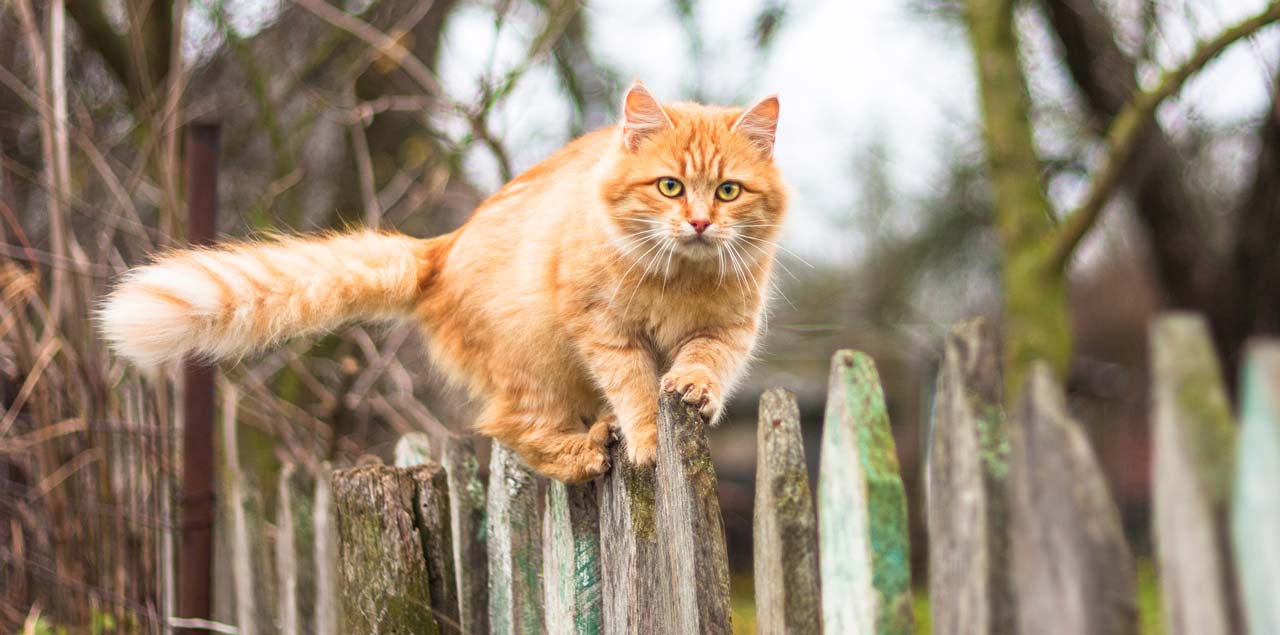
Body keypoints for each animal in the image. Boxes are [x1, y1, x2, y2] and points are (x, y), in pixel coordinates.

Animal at [99, 83, 783, 481]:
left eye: (728, 191)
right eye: (669, 186)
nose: (699, 222)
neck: (680, 278)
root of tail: (442, 249)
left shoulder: (729, 331)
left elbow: (702, 364)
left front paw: (693, 390)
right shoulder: (604, 330)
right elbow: (637, 389)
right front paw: (644, 440)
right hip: (532, 365)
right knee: (513, 429)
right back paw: (588, 451)